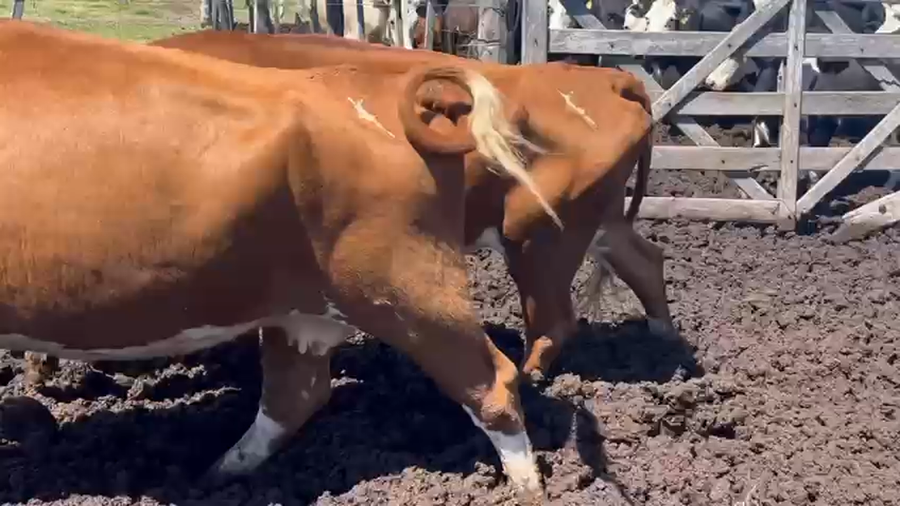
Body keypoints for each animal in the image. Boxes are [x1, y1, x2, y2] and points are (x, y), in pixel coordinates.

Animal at [0, 19, 559, 499]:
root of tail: (385, 94)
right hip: (306, 310)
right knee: (295, 395)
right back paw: (218, 472)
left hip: (407, 288)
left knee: (491, 380)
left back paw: (527, 489)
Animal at [147, 30, 674, 383]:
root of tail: (607, 77)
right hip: (596, 219)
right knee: (644, 261)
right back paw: (662, 339)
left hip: (538, 233)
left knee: (554, 321)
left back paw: (528, 380)